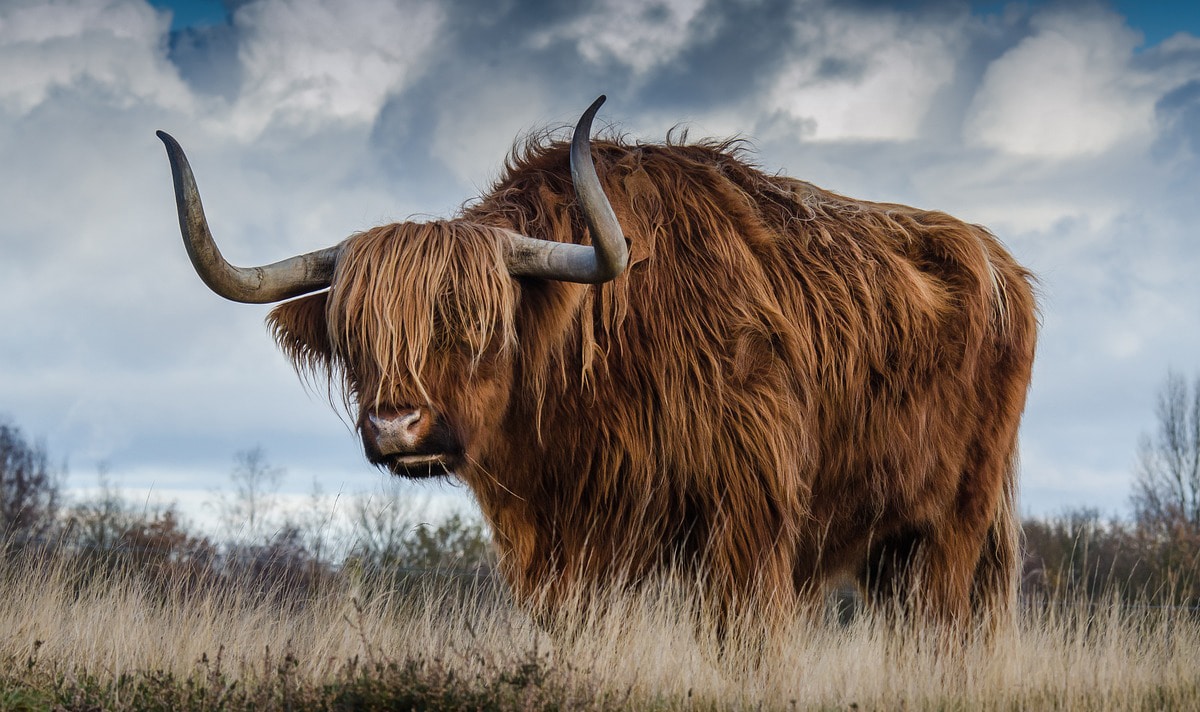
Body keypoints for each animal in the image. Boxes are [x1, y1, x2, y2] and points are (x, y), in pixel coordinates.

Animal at [159, 98, 1036, 629]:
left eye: (480, 325)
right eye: (354, 337)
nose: (396, 426)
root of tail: (999, 262)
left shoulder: (749, 521)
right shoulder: (565, 547)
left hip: (954, 524)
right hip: (893, 543)